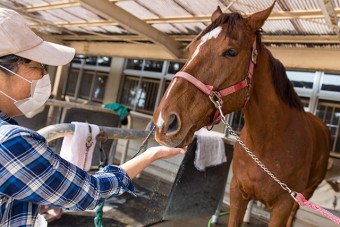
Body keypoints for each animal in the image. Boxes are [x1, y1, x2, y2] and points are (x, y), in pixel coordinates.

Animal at [153, 2, 330, 227]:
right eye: (192, 49)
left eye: (230, 52)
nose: (164, 122)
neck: (268, 143)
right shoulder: (238, 193)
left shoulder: (282, 206)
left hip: (305, 195)